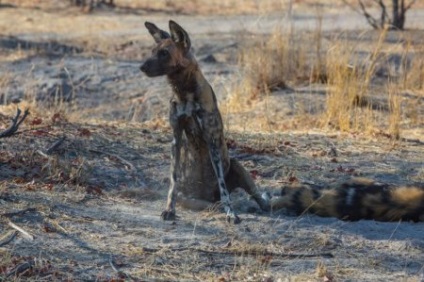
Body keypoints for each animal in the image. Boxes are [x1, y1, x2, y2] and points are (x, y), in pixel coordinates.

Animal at [141, 19, 270, 224]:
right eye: (152, 51)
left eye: (164, 53)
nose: (142, 66)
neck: (183, 91)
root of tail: (206, 198)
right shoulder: (176, 140)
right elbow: (172, 184)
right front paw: (169, 209)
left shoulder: (212, 141)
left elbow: (224, 190)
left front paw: (231, 213)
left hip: (238, 167)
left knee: (257, 196)